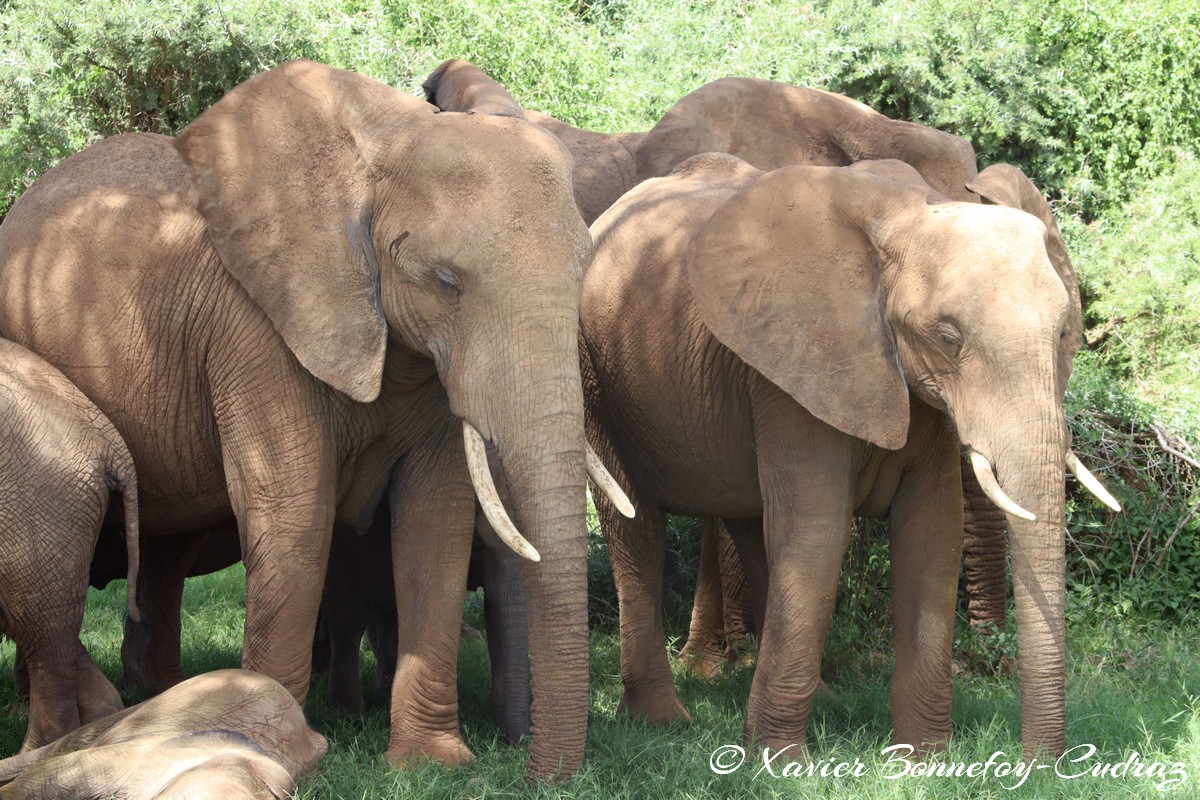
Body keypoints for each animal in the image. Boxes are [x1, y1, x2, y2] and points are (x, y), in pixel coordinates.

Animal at [585, 153, 1118, 762]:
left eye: (1063, 333)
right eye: (947, 336)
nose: (1041, 762)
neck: (914, 214)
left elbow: (933, 530)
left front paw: (923, 758)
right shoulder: (800, 364)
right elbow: (820, 529)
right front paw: (778, 763)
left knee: (754, 526)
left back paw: (824, 700)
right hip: (595, 373)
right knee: (639, 530)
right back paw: (666, 722)